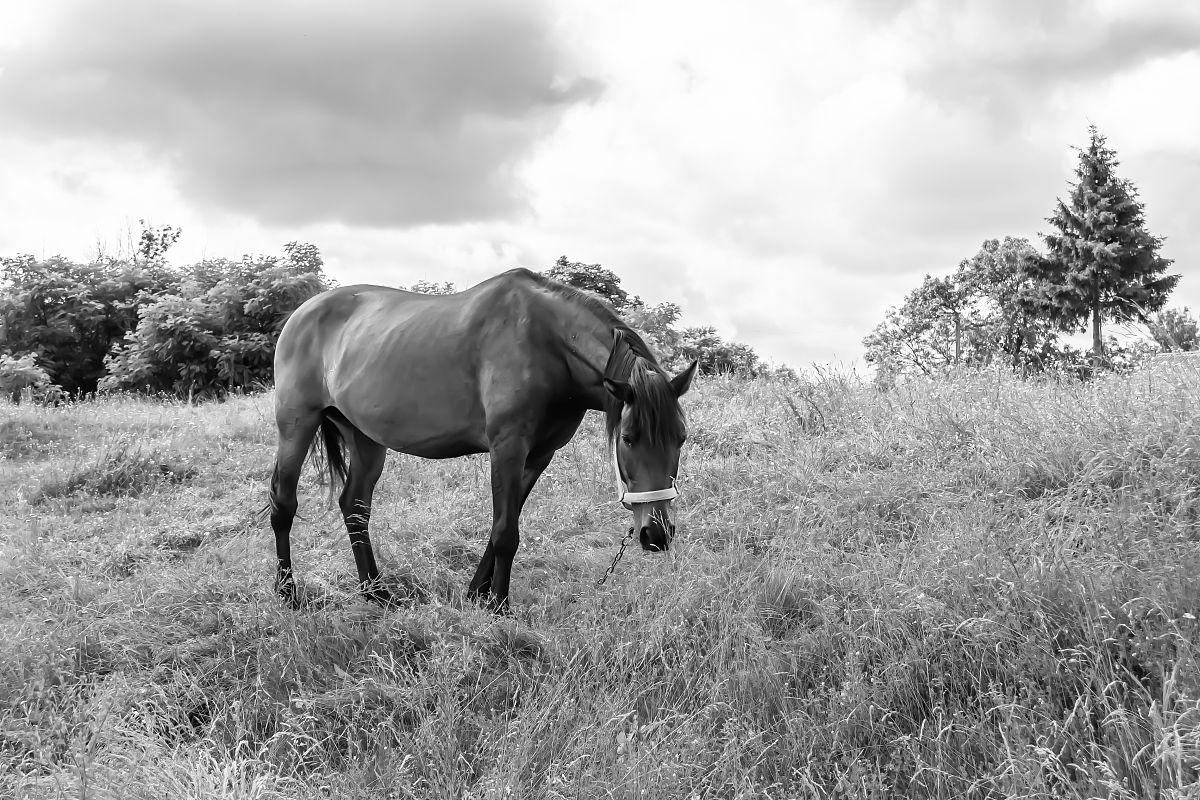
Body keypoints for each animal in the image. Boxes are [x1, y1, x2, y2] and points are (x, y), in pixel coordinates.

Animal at [267, 268, 697, 611]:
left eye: (681, 438)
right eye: (628, 438)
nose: (657, 534)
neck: (546, 343)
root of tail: (301, 313)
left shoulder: (538, 455)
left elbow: (503, 524)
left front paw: (477, 593)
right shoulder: (507, 447)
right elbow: (506, 532)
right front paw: (500, 607)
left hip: (365, 438)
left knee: (355, 507)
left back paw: (375, 592)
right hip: (296, 424)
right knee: (284, 503)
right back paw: (288, 592)